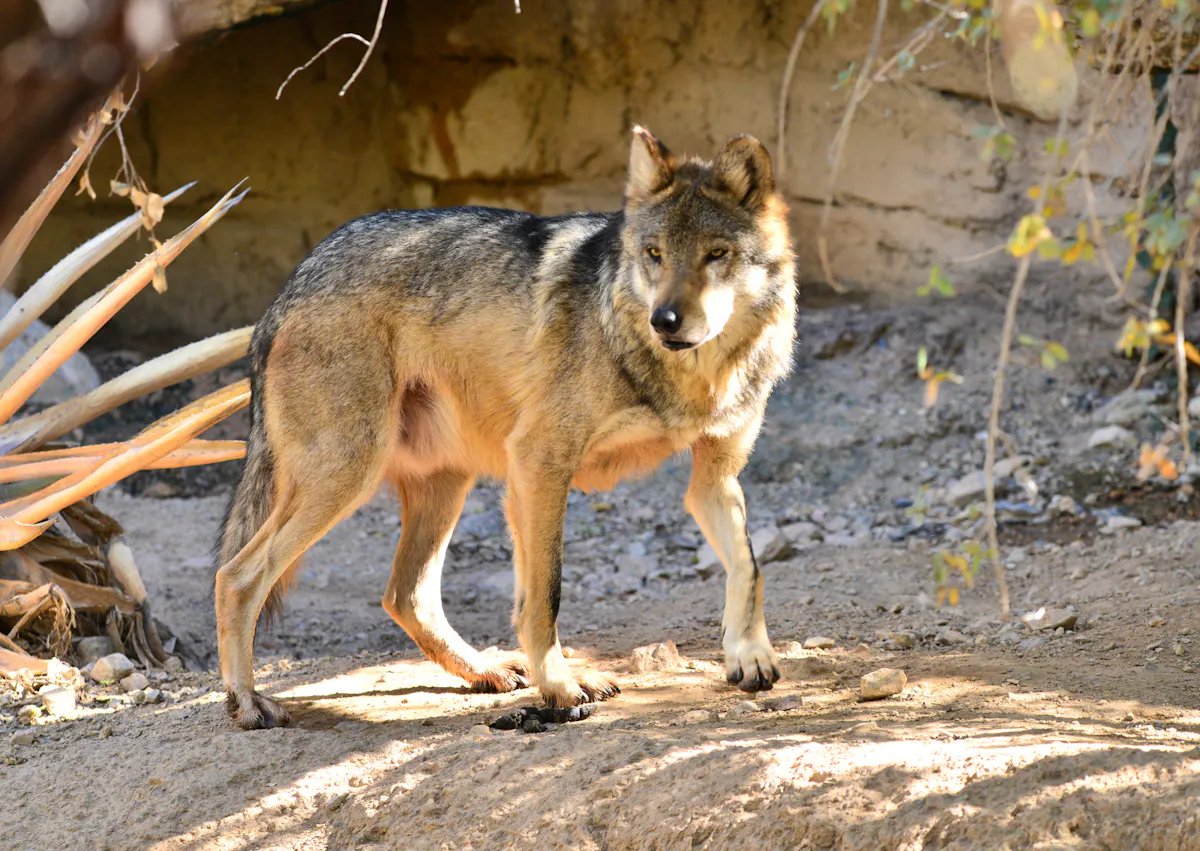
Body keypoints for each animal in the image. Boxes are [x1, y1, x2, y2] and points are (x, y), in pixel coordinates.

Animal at [214, 127, 797, 729]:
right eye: (654, 254)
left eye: (716, 254)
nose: (666, 321)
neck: (692, 379)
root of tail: (286, 291)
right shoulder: (539, 462)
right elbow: (545, 595)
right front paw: (559, 685)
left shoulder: (713, 479)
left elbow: (749, 567)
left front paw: (750, 655)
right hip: (348, 476)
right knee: (236, 577)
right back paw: (247, 701)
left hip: (444, 483)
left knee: (406, 595)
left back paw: (485, 671)